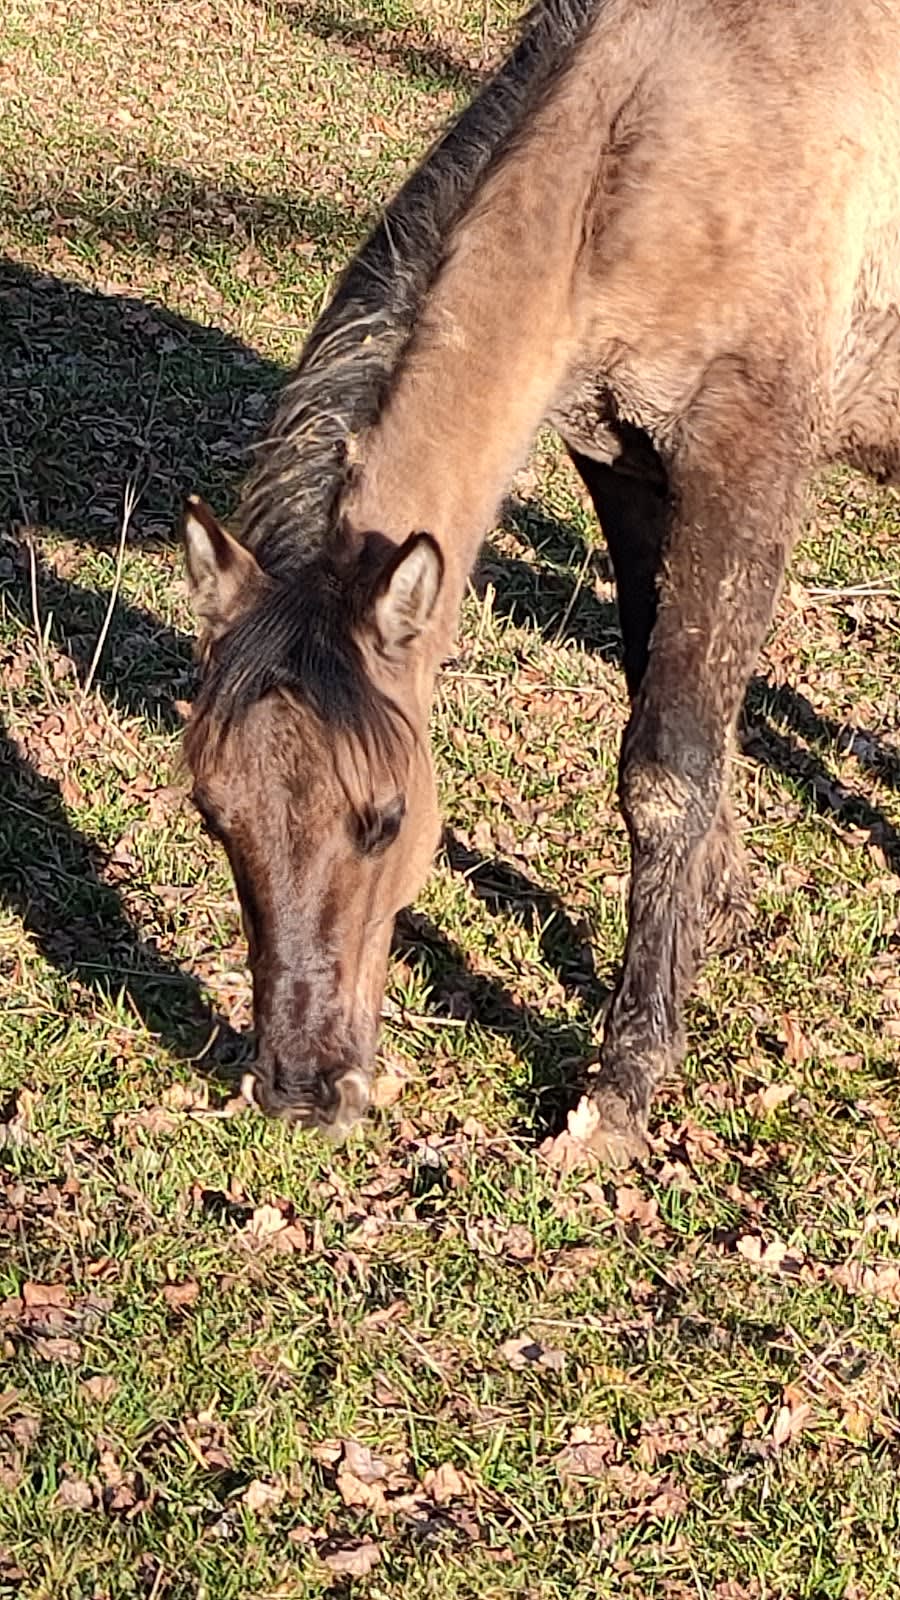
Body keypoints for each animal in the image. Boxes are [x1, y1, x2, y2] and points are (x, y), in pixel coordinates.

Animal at [181, 0, 900, 1164]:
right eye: (213, 814)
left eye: (384, 817)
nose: (300, 1089)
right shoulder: (624, 460)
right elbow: (661, 694)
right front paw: (716, 911)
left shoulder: (746, 459)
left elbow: (666, 763)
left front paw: (620, 1088)